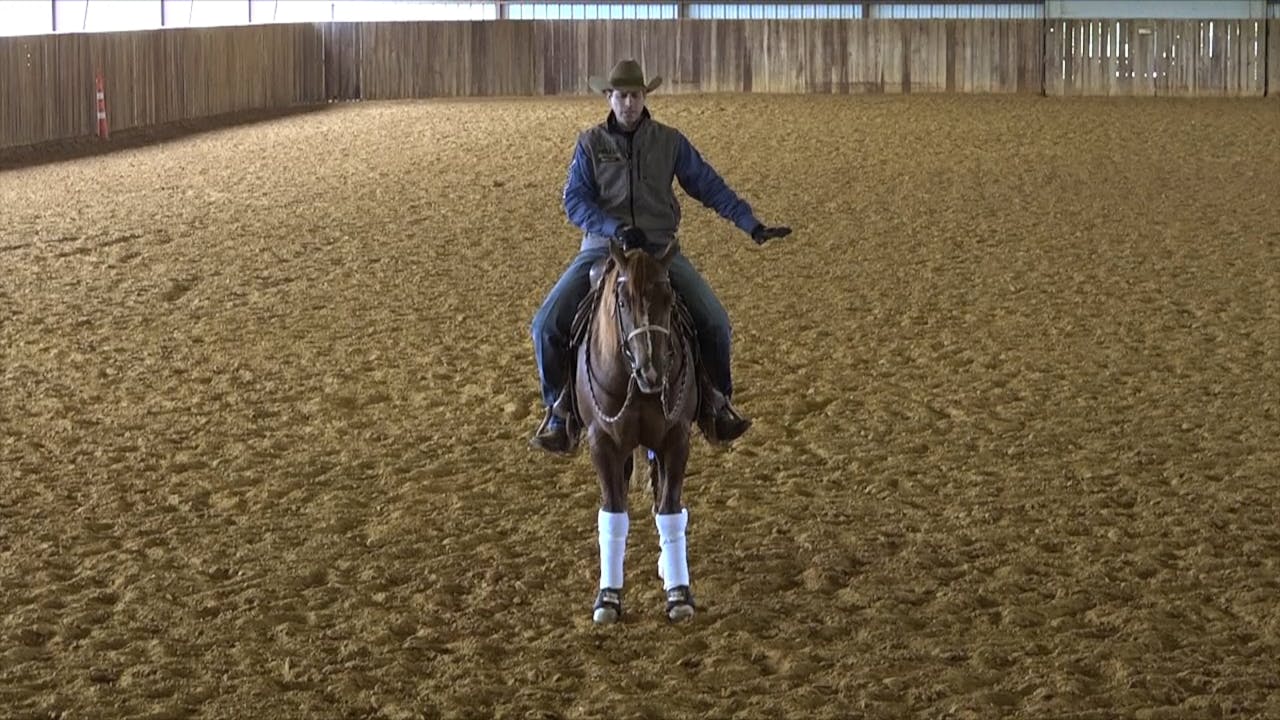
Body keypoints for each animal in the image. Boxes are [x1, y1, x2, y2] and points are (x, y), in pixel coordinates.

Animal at [561, 238, 701, 624]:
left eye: (668, 298)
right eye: (623, 302)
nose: (652, 371)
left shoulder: (675, 439)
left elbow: (669, 509)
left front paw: (679, 594)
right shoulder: (604, 443)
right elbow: (613, 514)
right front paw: (608, 598)